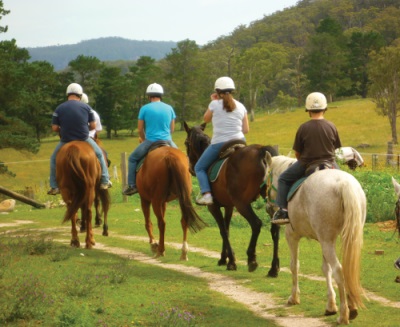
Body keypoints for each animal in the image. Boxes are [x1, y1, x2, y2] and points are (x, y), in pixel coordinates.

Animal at [184, 122, 276, 272]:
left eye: (186, 143)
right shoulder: (229, 206)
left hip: (242, 203)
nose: (191, 169)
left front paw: (231, 261)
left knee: (256, 224)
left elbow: (223, 231)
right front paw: (224, 258)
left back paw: (252, 259)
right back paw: (274, 268)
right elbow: (227, 229)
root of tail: (260, 151)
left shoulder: (213, 207)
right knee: (275, 228)